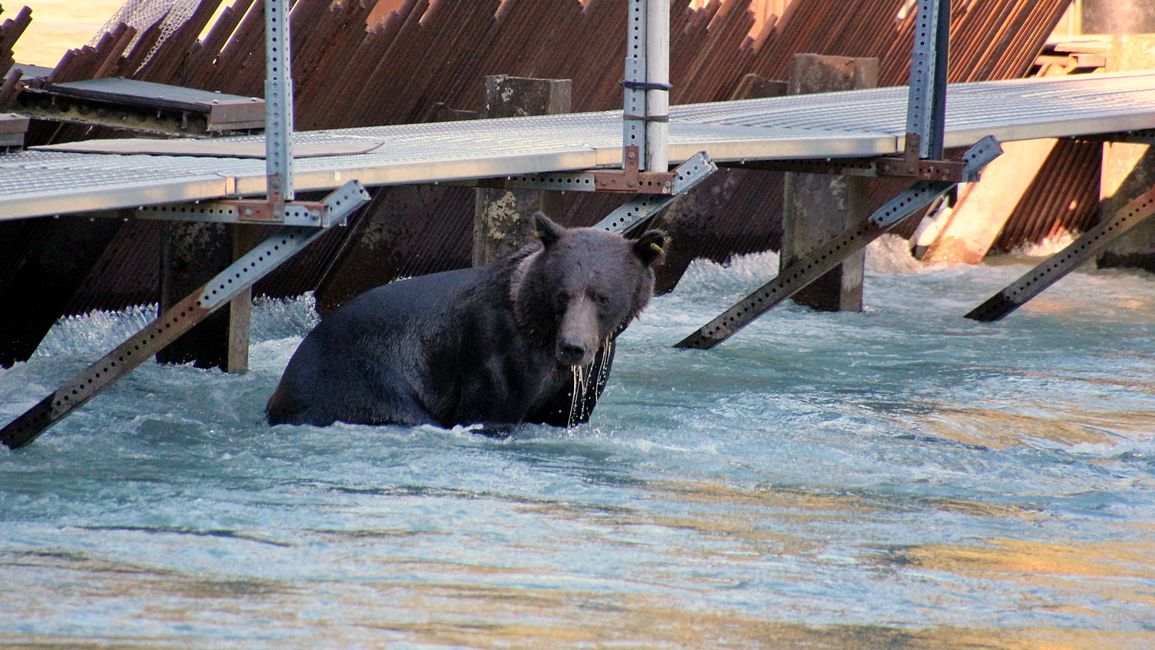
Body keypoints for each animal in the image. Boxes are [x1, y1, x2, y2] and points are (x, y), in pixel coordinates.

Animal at [264, 211, 665, 429]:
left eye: (603, 297)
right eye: (562, 294)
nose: (573, 347)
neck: (539, 331)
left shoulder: (590, 368)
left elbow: (568, 410)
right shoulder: (494, 352)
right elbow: (487, 410)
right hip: (359, 380)